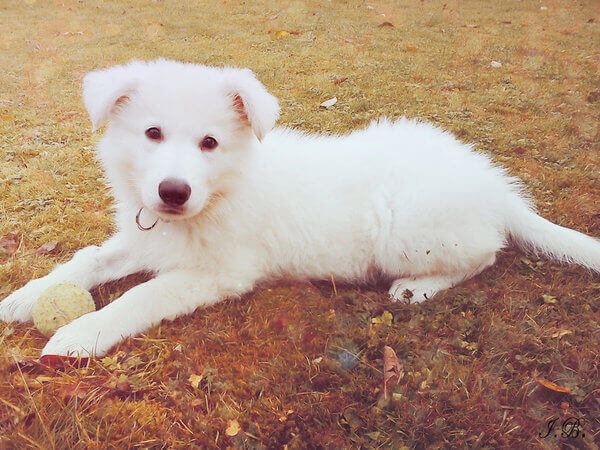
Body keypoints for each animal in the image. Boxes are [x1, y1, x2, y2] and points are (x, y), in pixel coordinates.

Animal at [1, 58, 600, 356]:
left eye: (210, 143)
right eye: (152, 134)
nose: (173, 192)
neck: (221, 193)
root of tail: (490, 184)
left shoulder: (220, 272)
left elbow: (141, 296)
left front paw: (81, 334)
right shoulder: (143, 237)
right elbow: (87, 260)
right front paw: (27, 297)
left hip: (408, 233)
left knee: (487, 254)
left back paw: (419, 288)